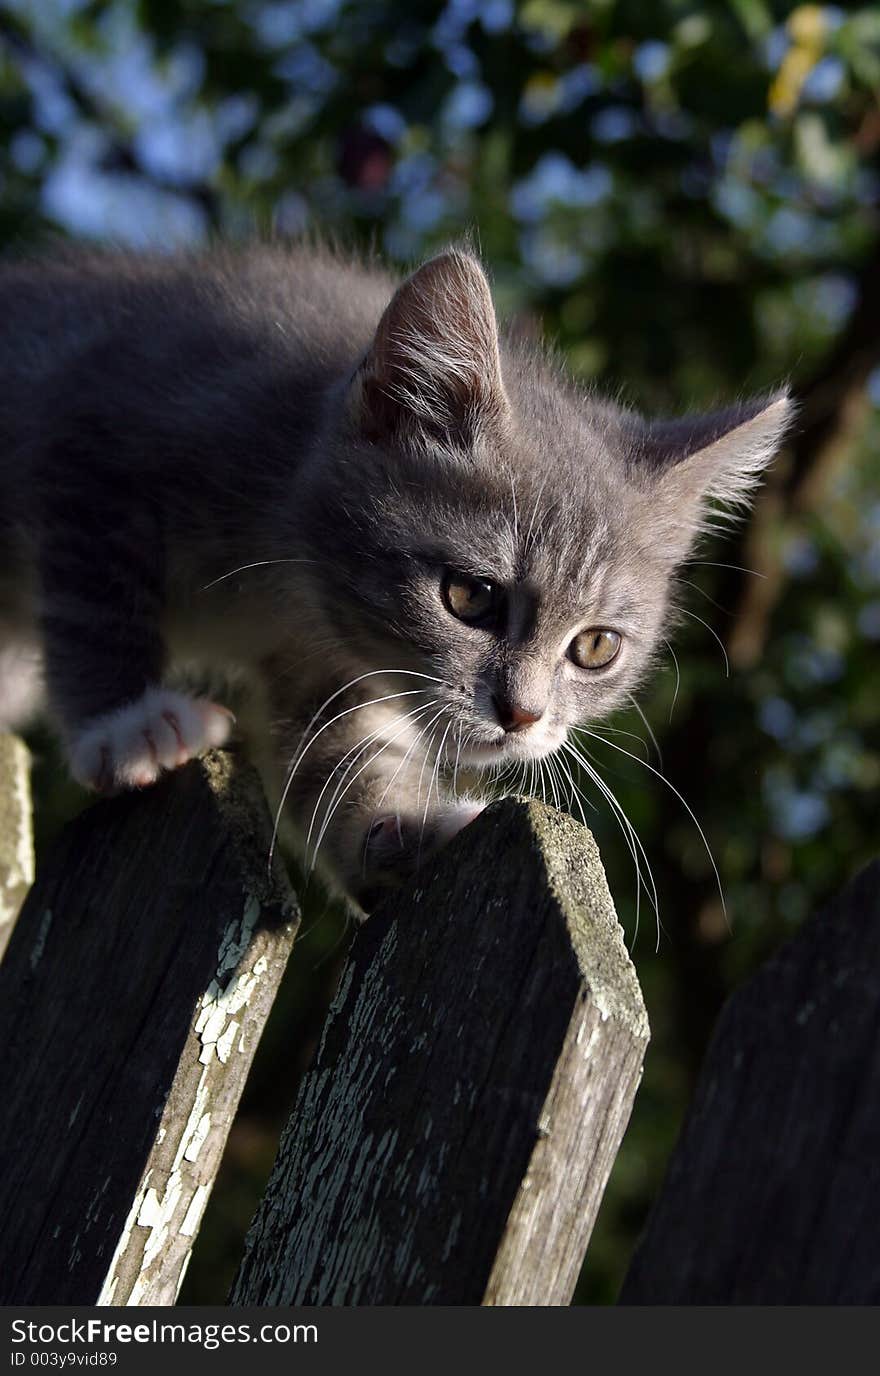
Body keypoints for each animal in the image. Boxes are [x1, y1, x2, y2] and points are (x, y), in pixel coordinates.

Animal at [0, 242, 792, 908]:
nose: (522, 715)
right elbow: (96, 602)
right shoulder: (95, 428)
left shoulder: (326, 672)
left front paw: (405, 833)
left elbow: (341, 757)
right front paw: (127, 722)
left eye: (596, 647)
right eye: (470, 597)